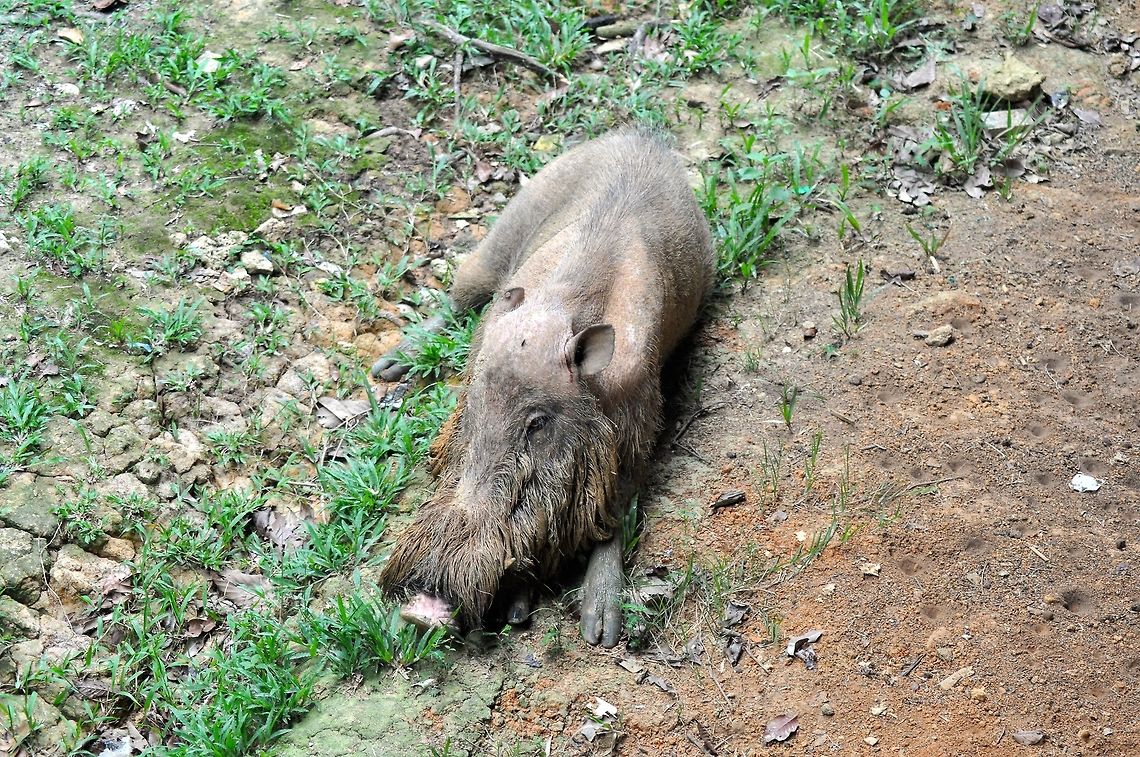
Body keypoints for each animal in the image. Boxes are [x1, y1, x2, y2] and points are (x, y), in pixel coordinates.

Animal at [376, 129, 715, 647]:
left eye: (537, 424)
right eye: (474, 406)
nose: (421, 612)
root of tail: (639, 135)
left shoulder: (639, 426)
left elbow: (613, 514)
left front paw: (600, 631)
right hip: (503, 232)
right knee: (459, 294)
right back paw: (387, 367)